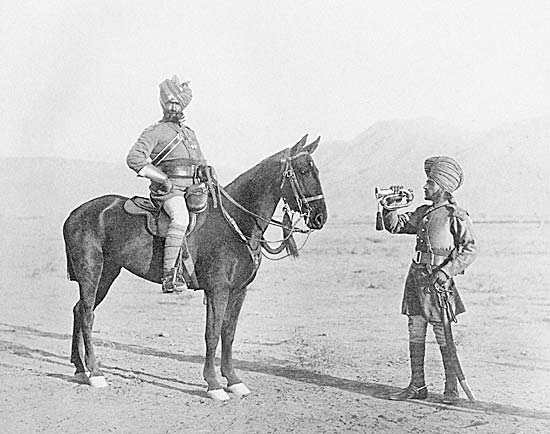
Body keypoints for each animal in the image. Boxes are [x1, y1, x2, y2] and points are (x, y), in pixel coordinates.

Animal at [63, 135, 328, 400]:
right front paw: (213, 384)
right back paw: (95, 373)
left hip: (107, 274)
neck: (235, 221)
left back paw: (80, 368)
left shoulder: (238, 292)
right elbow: (212, 334)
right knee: (87, 315)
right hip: (91, 272)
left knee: (78, 310)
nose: (320, 217)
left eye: (316, 171)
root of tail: (74, 213)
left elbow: (228, 334)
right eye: (303, 171)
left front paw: (233, 380)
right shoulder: (217, 291)